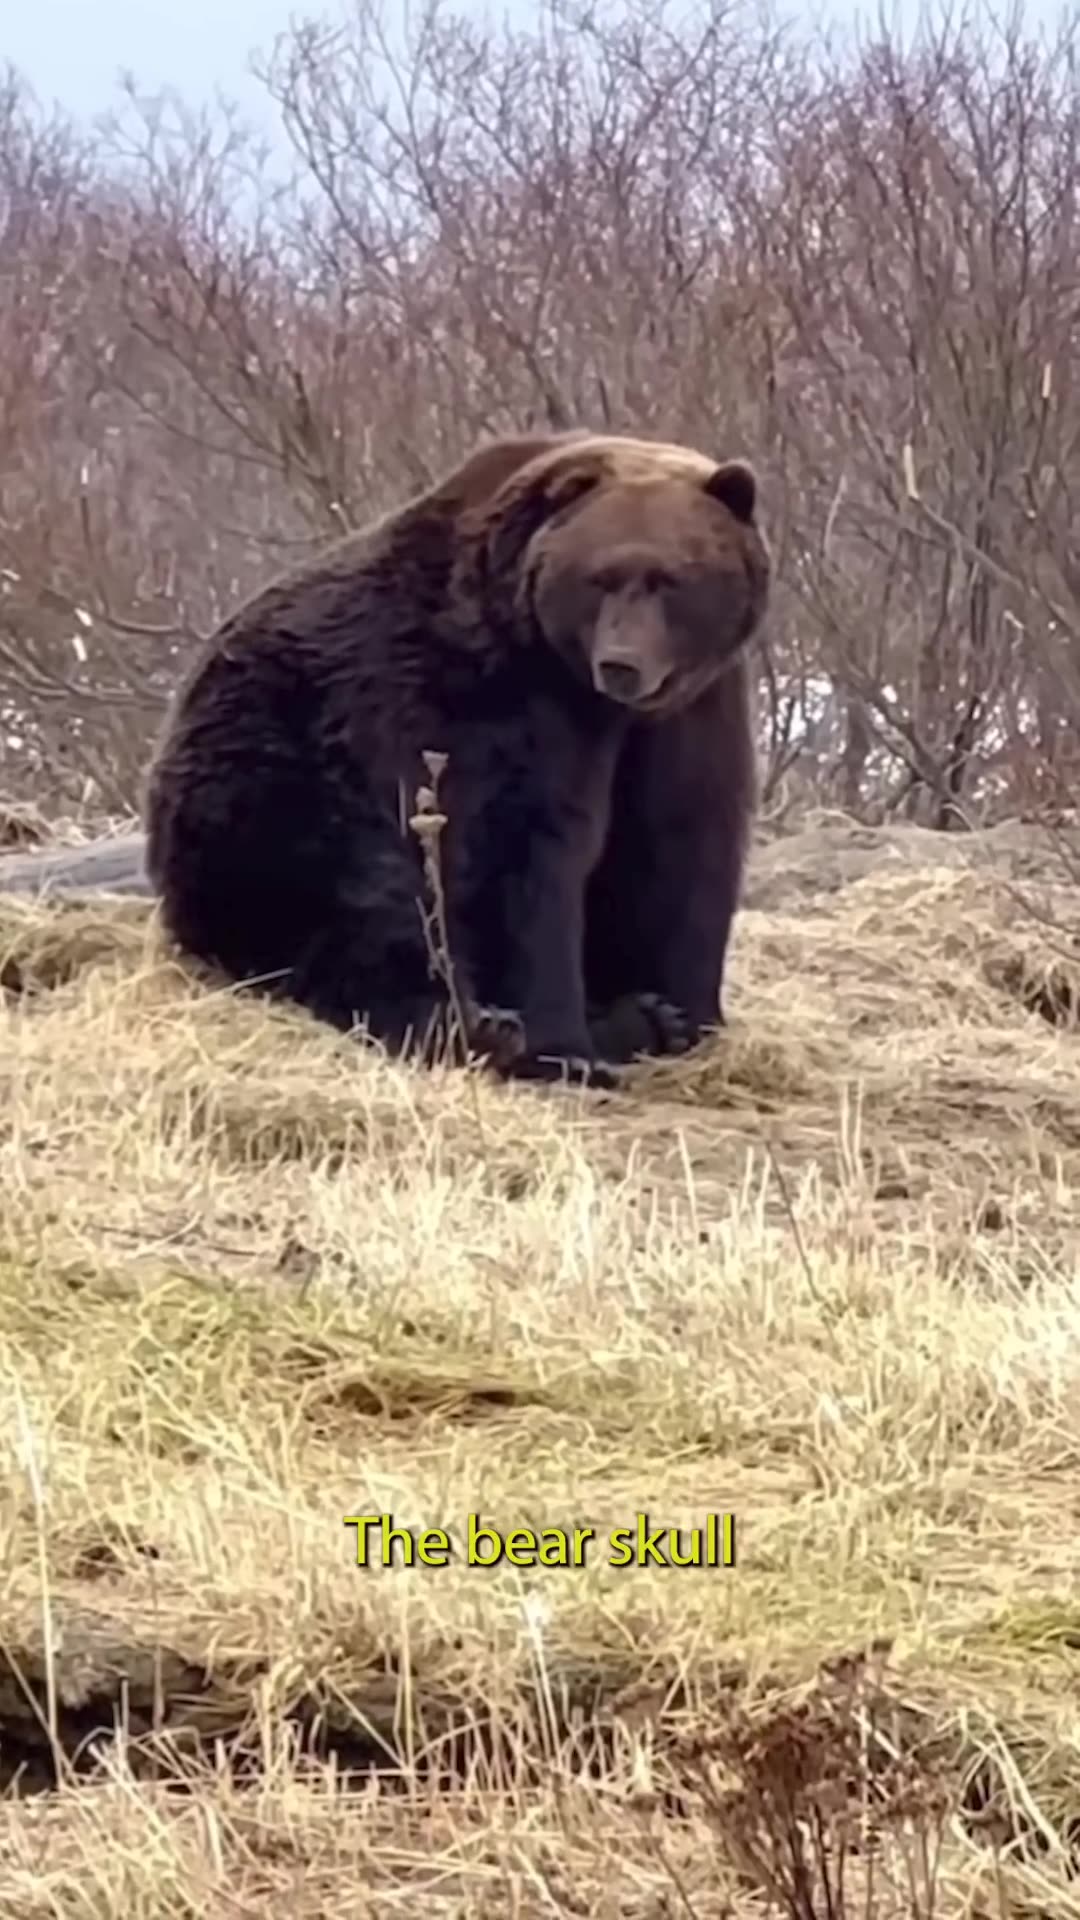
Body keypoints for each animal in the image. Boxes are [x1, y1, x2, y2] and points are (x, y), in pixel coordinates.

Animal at [145, 435, 764, 1090]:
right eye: (601, 577)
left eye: (670, 579)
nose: (622, 663)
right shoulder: (485, 701)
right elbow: (518, 855)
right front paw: (564, 1047)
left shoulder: (692, 711)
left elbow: (681, 842)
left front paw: (681, 1010)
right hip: (275, 778)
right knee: (364, 903)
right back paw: (479, 1023)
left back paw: (641, 1019)